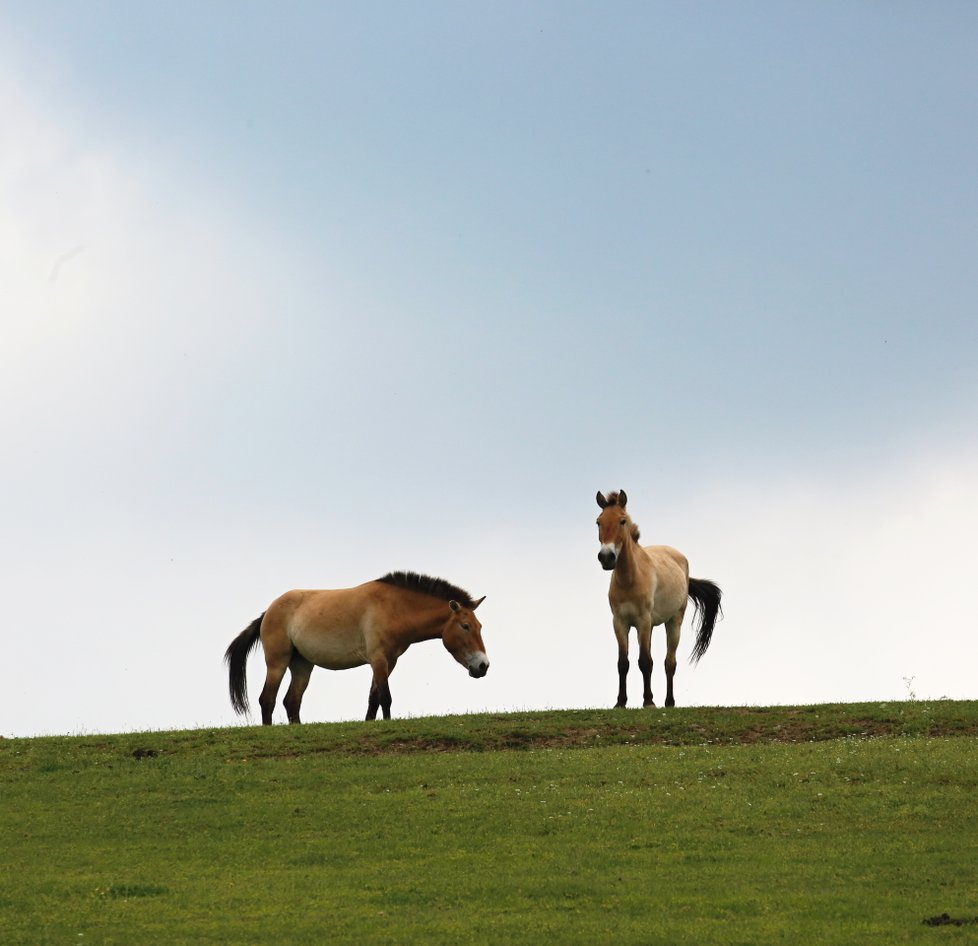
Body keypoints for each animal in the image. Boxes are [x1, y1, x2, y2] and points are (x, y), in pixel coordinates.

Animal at [227, 568, 488, 724]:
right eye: (465, 626)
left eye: (480, 626)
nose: (482, 666)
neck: (394, 608)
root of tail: (268, 612)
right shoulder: (379, 658)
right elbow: (385, 697)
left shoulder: (388, 661)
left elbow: (374, 698)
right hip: (277, 663)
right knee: (267, 699)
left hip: (302, 665)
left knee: (291, 701)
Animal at [592, 490, 720, 704]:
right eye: (598, 522)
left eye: (622, 521)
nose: (606, 557)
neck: (630, 579)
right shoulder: (620, 622)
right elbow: (623, 663)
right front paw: (621, 702)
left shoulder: (643, 621)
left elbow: (645, 661)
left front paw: (649, 701)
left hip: (673, 622)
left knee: (669, 663)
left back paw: (669, 702)